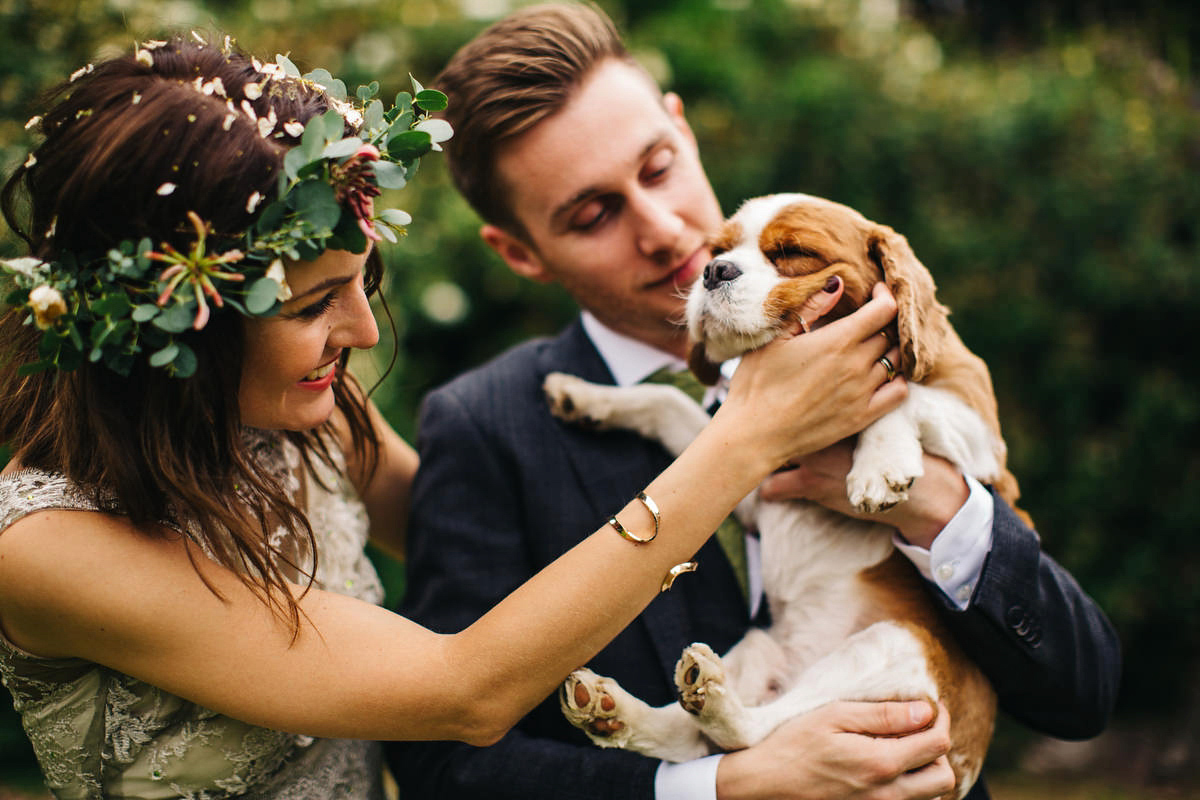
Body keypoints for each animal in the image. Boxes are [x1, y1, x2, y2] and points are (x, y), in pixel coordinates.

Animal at [547, 191, 1022, 796]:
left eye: (793, 252)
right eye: (718, 250)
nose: (713, 271)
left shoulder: (986, 442)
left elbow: (902, 395)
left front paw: (879, 464)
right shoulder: (755, 489)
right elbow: (667, 402)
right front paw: (585, 396)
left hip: (895, 650)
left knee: (748, 732)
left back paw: (703, 701)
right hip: (761, 647)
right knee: (699, 738)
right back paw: (611, 709)